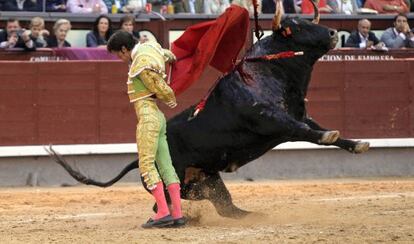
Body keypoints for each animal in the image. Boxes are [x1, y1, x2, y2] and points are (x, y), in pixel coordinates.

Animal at [48, 17, 368, 219]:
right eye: (297, 27)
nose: (333, 34)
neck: (269, 71)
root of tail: (138, 158)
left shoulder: (298, 116)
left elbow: (318, 131)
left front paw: (357, 144)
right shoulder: (271, 120)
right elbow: (306, 131)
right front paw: (331, 136)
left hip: (208, 178)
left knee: (223, 205)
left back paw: (250, 215)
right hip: (178, 178)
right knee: (170, 199)